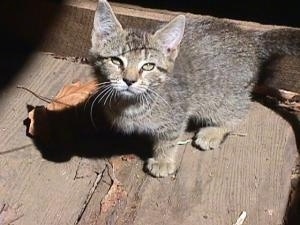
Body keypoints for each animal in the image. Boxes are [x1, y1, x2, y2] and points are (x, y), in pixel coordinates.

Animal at [89, 0, 300, 178]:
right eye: (116, 61)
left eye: (148, 66)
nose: (129, 80)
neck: (130, 104)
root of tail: (250, 39)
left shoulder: (176, 115)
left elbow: (168, 138)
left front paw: (163, 160)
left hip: (224, 97)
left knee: (238, 113)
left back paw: (213, 131)